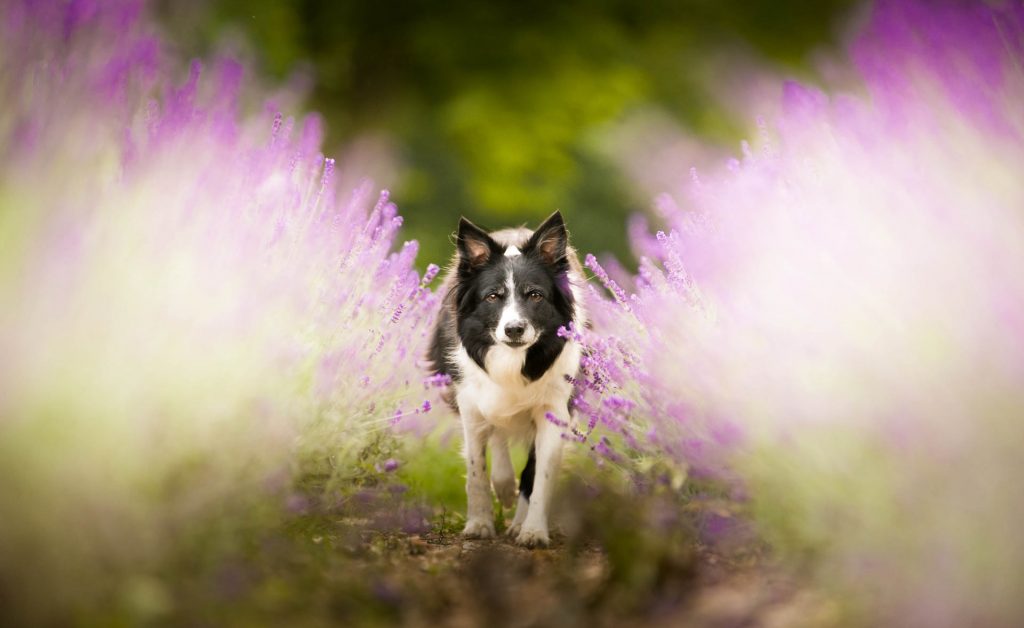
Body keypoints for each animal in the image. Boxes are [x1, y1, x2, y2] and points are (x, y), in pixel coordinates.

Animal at [425, 211, 589, 545]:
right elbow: (476, 470)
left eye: (535, 295)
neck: (514, 360)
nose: (514, 329)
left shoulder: (554, 408)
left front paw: (533, 530)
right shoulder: (470, 403)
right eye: (493, 296)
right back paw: (503, 486)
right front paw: (479, 524)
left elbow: (540, 475)